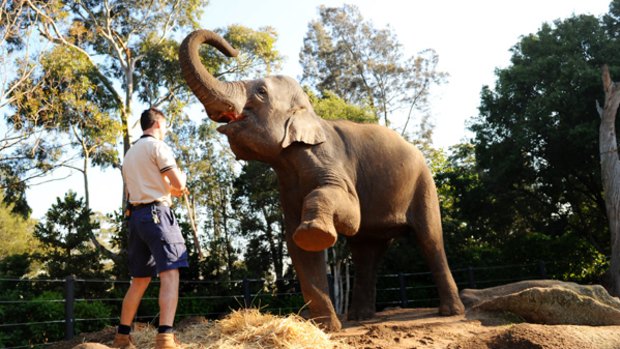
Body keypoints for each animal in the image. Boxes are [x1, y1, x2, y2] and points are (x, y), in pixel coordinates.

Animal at [179, 29, 464, 328]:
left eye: (261, 92)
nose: (232, 51)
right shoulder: (287, 189)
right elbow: (298, 247)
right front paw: (325, 327)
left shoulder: (333, 164)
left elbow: (349, 214)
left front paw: (315, 232)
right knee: (366, 251)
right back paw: (360, 317)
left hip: (424, 185)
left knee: (430, 239)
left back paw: (450, 312)